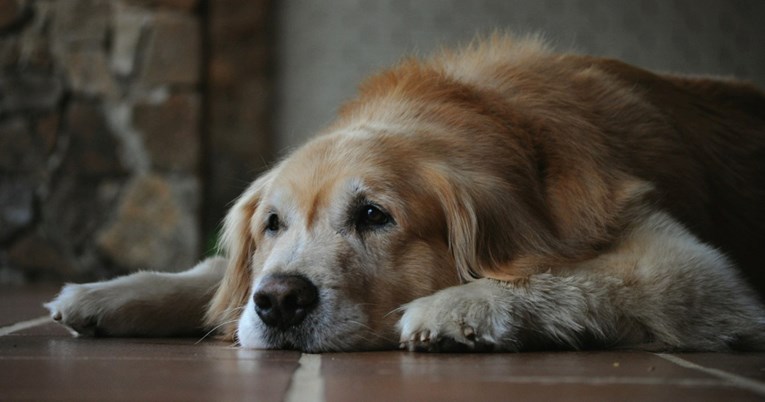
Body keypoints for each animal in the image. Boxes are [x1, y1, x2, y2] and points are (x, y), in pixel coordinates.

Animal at [47, 37, 764, 352]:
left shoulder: (692, 271)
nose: (279, 303)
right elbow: (216, 276)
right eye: (273, 224)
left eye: (374, 216)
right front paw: (110, 294)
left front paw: (459, 307)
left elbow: (563, 274)